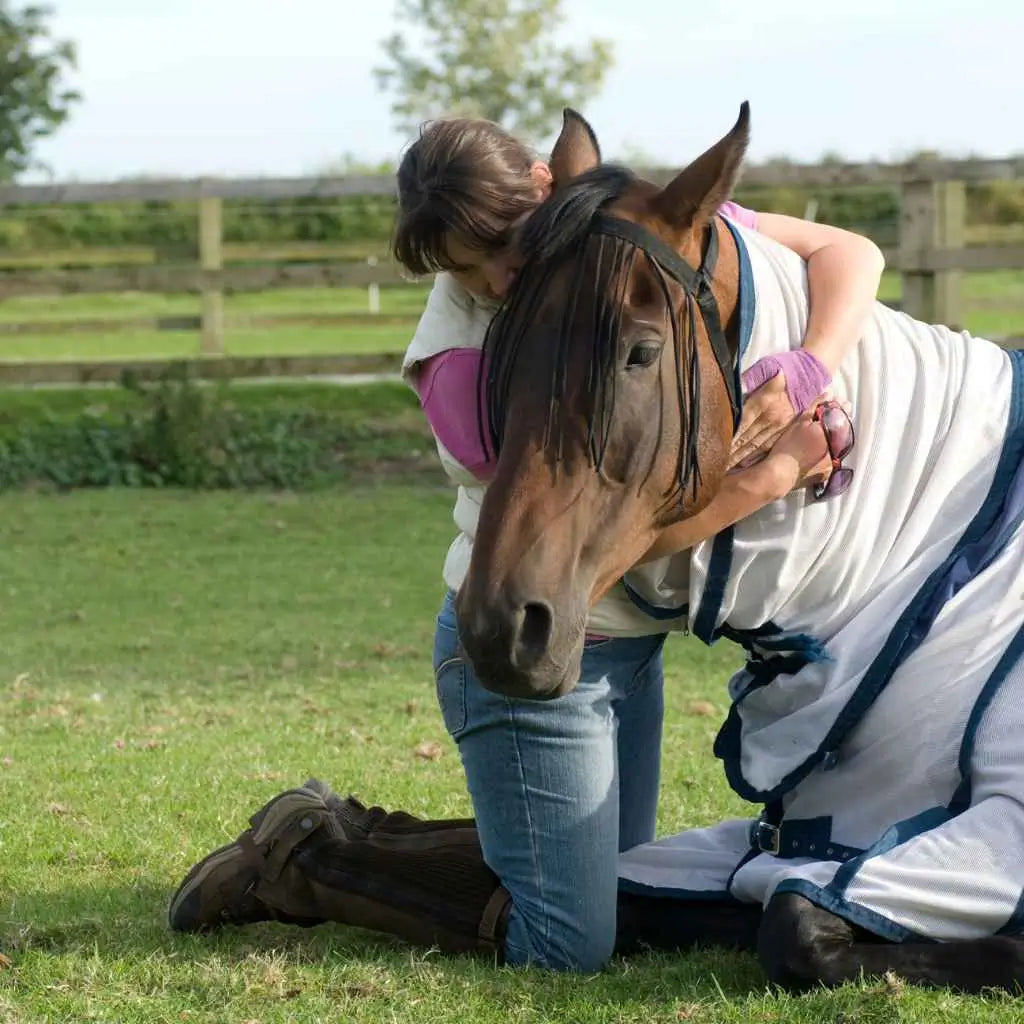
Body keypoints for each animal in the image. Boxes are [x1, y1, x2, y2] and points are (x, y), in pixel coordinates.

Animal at [454, 103, 1024, 992]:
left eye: (639, 352)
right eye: (503, 352)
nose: (498, 627)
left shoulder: (992, 826)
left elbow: (794, 921)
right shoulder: (770, 841)